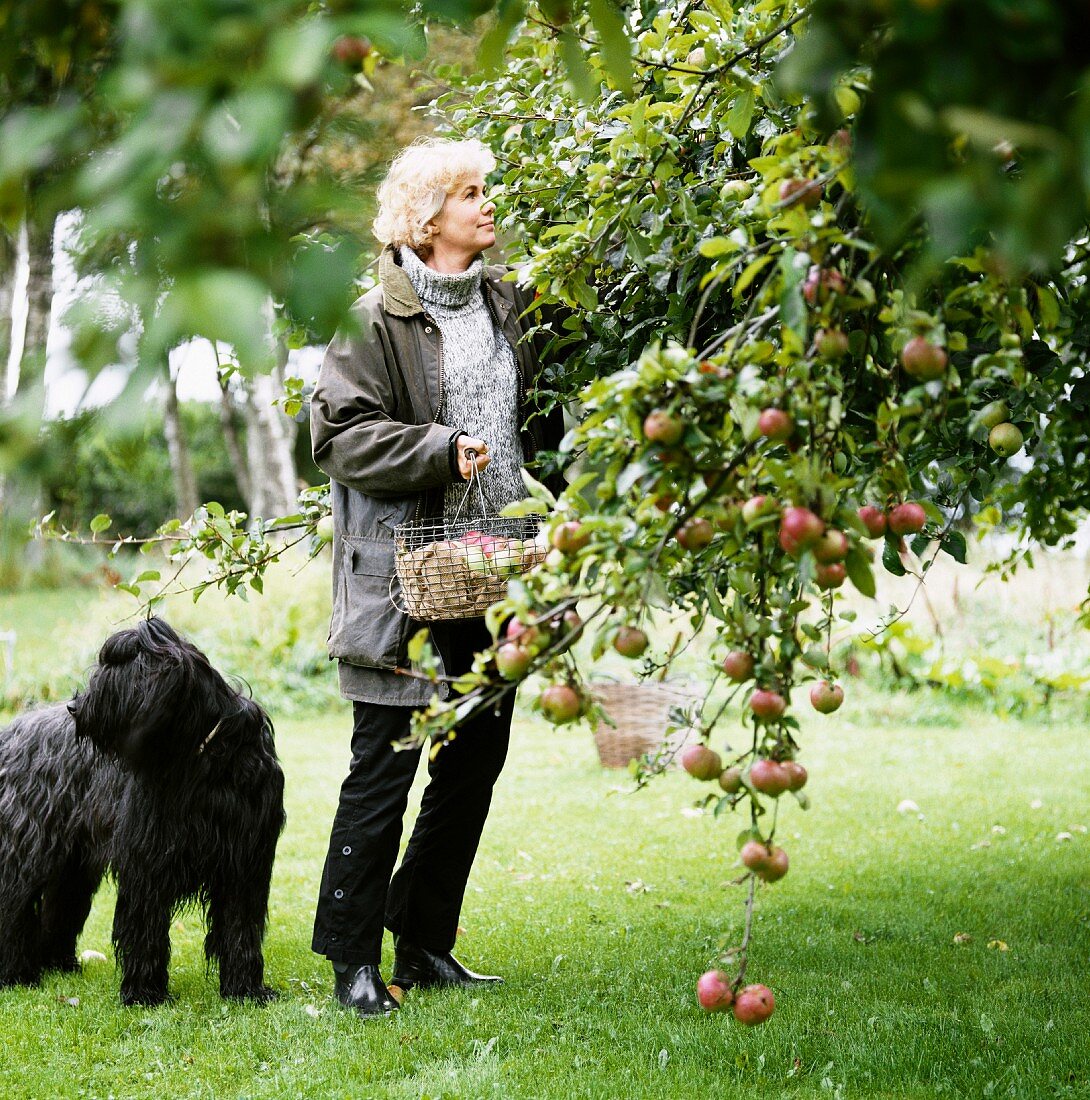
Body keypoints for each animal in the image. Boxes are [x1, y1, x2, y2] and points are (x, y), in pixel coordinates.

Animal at [0, 620, 285, 1007]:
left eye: (112, 673)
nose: (75, 706)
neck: (201, 756)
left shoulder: (244, 863)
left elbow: (240, 926)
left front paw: (245, 990)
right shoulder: (148, 858)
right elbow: (145, 925)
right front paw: (144, 993)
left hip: (73, 864)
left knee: (61, 904)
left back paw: (57, 964)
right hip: (27, 850)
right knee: (13, 904)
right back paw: (16, 974)